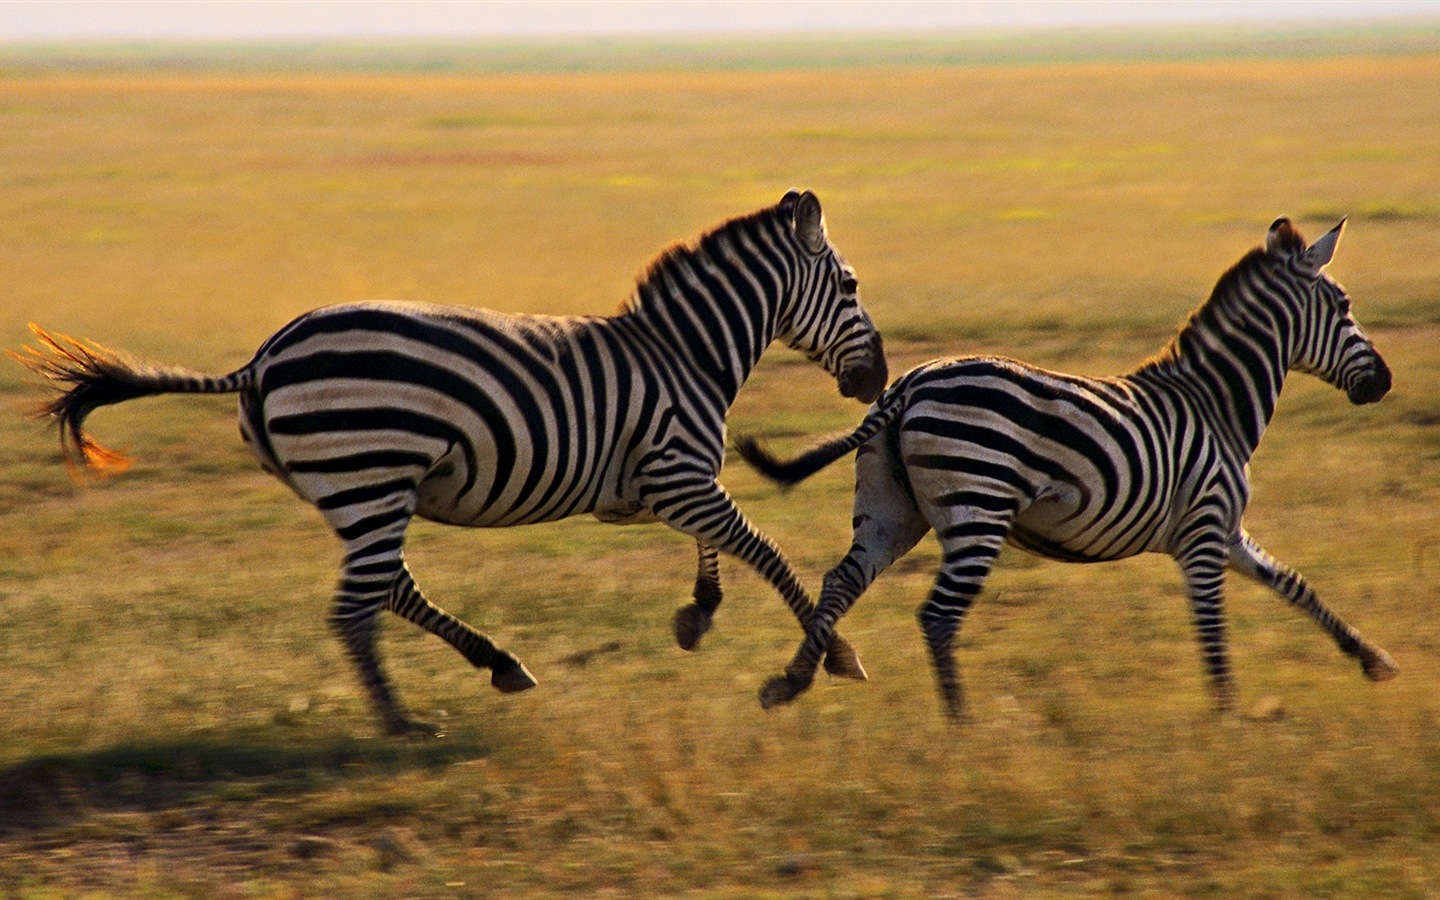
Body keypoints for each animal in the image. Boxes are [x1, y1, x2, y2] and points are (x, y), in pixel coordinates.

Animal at [16, 187, 881, 731]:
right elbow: (765, 550)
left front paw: (700, 613)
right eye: (849, 284)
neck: (684, 354)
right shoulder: (678, 472)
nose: (874, 380)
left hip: (355, 491)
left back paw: (494, 663)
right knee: (358, 607)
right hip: (371, 477)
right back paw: (401, 722)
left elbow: (717, 546)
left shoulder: (666, 484)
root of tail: (262, 359)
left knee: (390, 588)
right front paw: (829, 656)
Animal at [731, 214, 1393, 720]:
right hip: (978, 510)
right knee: (938, 617)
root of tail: (908, 386)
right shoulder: (1205, 533)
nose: (1383, 382)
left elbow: (1295, 583)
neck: (1215, 406)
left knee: (841, 581)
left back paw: (792, 682)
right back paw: (962, 726)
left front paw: (1370, 657)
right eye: (1344, 305)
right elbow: (1212, 630)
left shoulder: (1225, 532)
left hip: (891, 512)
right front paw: (1228, 718)